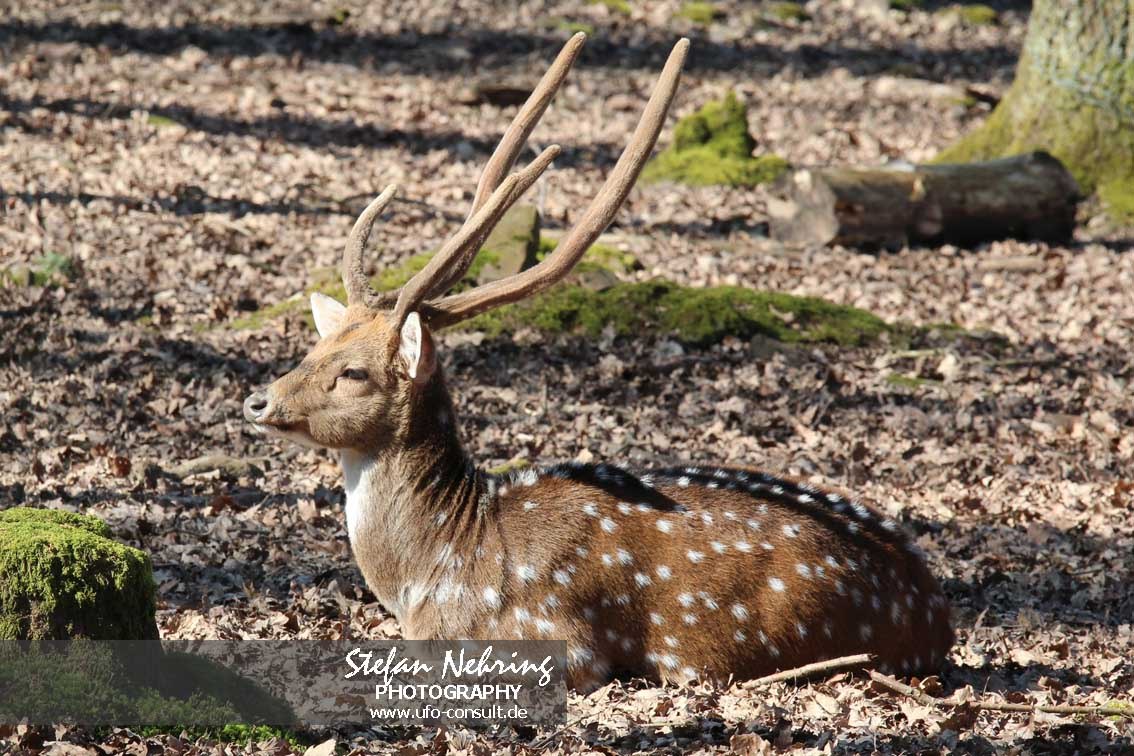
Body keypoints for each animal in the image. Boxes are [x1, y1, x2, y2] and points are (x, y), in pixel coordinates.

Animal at [242, 33, 953, 691]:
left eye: (354, 372)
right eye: (316, 347)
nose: (257, 399)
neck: (431, 575)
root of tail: (937, 609)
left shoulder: (555, 643)